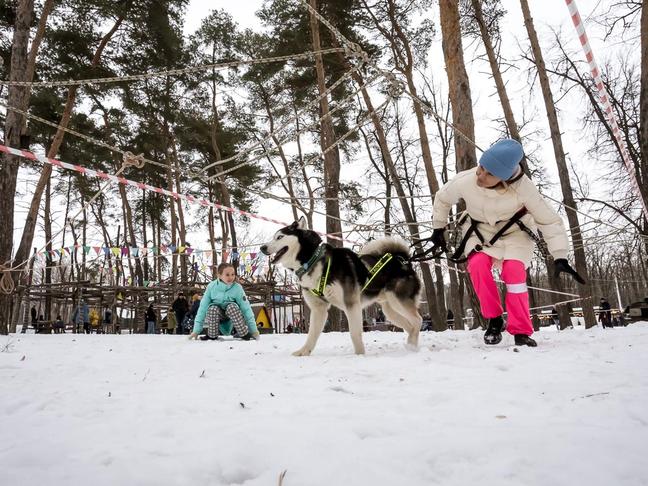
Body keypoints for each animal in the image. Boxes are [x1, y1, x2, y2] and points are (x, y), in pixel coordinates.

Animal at [260, 218, 422, 356]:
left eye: (279, 237)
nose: (262, 247)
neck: (313, 261)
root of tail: (402, 260)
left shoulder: (351, 305)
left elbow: (354, 333)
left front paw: (359, 355)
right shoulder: (319, 309)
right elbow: (312, 334)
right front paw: (304, 352)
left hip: (398, 301)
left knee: (418, 321)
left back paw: (413, 347)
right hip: (390, 310)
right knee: (410, 325)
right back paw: (410, 345)